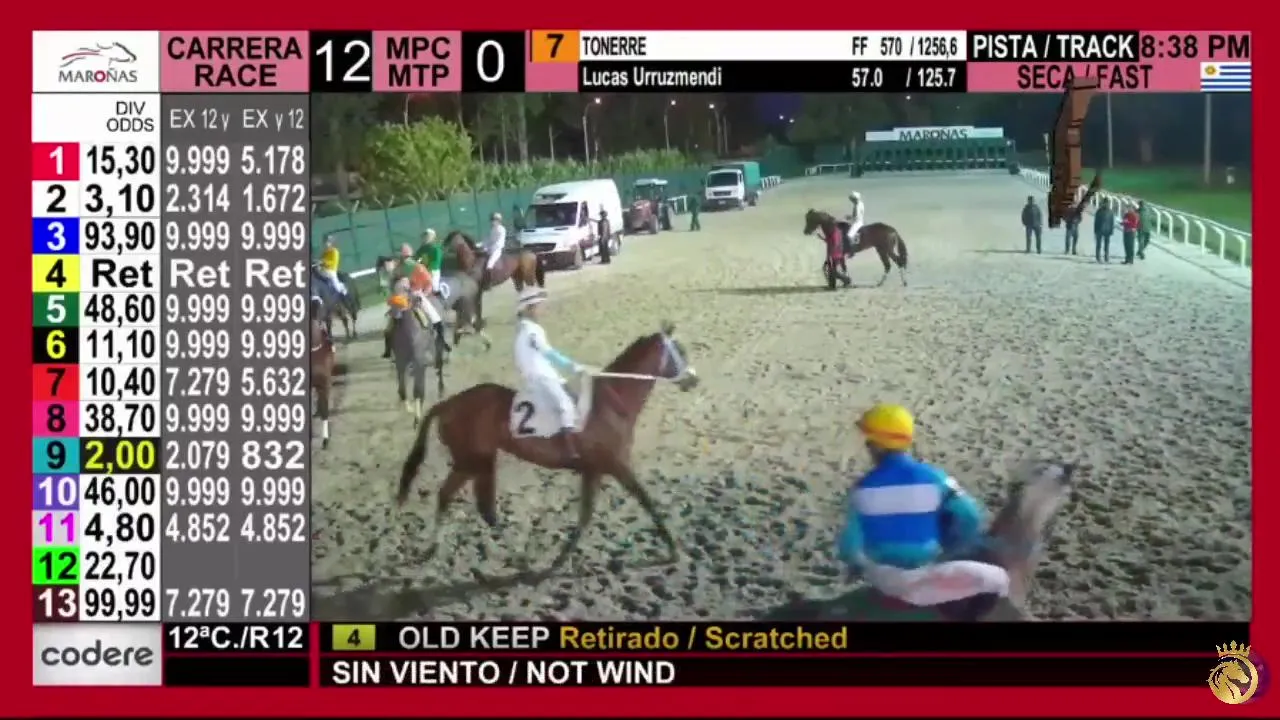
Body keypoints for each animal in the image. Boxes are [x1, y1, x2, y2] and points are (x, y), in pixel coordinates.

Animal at [389, 295, 448, 425]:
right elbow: (403, 389)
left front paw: (417, 416)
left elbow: (416, 389)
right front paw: (410, 409)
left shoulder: (418, 360)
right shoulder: (402, 361)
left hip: (432, 349)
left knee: (438, 365)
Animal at [396, 321, 699, 578]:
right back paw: (519, 558)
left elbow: (586, 515)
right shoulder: (616, 464)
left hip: (476, 461)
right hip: (473, 461)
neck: (612, 401)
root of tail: (447, 404)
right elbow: (645, 501)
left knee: (456, 499)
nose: (693, 379)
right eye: (681, 351)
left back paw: (438, 548)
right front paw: (673, 549)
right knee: (477, 506)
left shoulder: (594, 470)